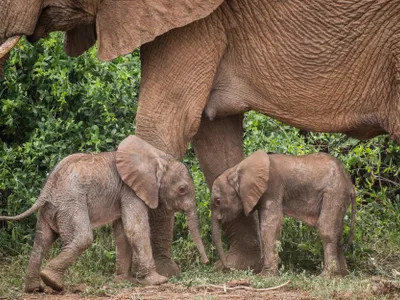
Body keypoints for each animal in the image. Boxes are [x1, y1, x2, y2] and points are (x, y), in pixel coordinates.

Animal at [0, 135, 208, 292]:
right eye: (182, 189)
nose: (206, 262)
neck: (156, 157)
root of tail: (48, 186)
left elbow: (123, 232)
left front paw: (125, 281)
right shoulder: (130, 190)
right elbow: (136, 229)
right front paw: (158, 281)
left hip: (51, 207)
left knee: (41, 240)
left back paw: (35, 288)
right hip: (71, 202)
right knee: (82, 238)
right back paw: (53, 282)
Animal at [211, 150, 354, 276]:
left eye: (217, 201)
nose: (226, 268)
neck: (237, 169)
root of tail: (350, 183)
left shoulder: (272, 187)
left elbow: (270, 225)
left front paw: (265, 276)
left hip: (334, 192)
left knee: (326, 229)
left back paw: (326, 276)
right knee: (338, 232)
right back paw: (342, 275)